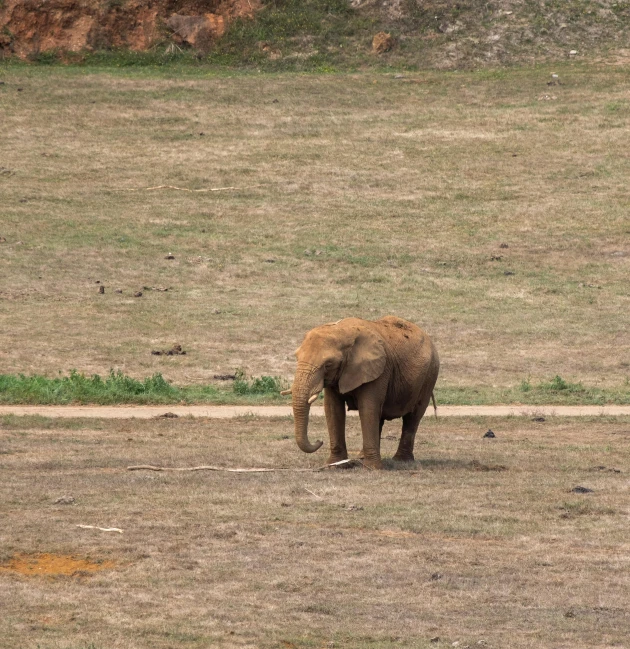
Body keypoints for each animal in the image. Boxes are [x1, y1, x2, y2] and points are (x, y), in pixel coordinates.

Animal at [286, 316, 440, 468]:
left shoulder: (378, 370)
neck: (341, 330)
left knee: (413, 417)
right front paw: (334, 464)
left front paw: (373, 468)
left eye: (328, 365)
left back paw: (400, 460)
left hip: (429, 376)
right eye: (297, 358)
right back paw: (361, 457)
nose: (319, 441)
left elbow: (368, 408)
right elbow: (332, 409)